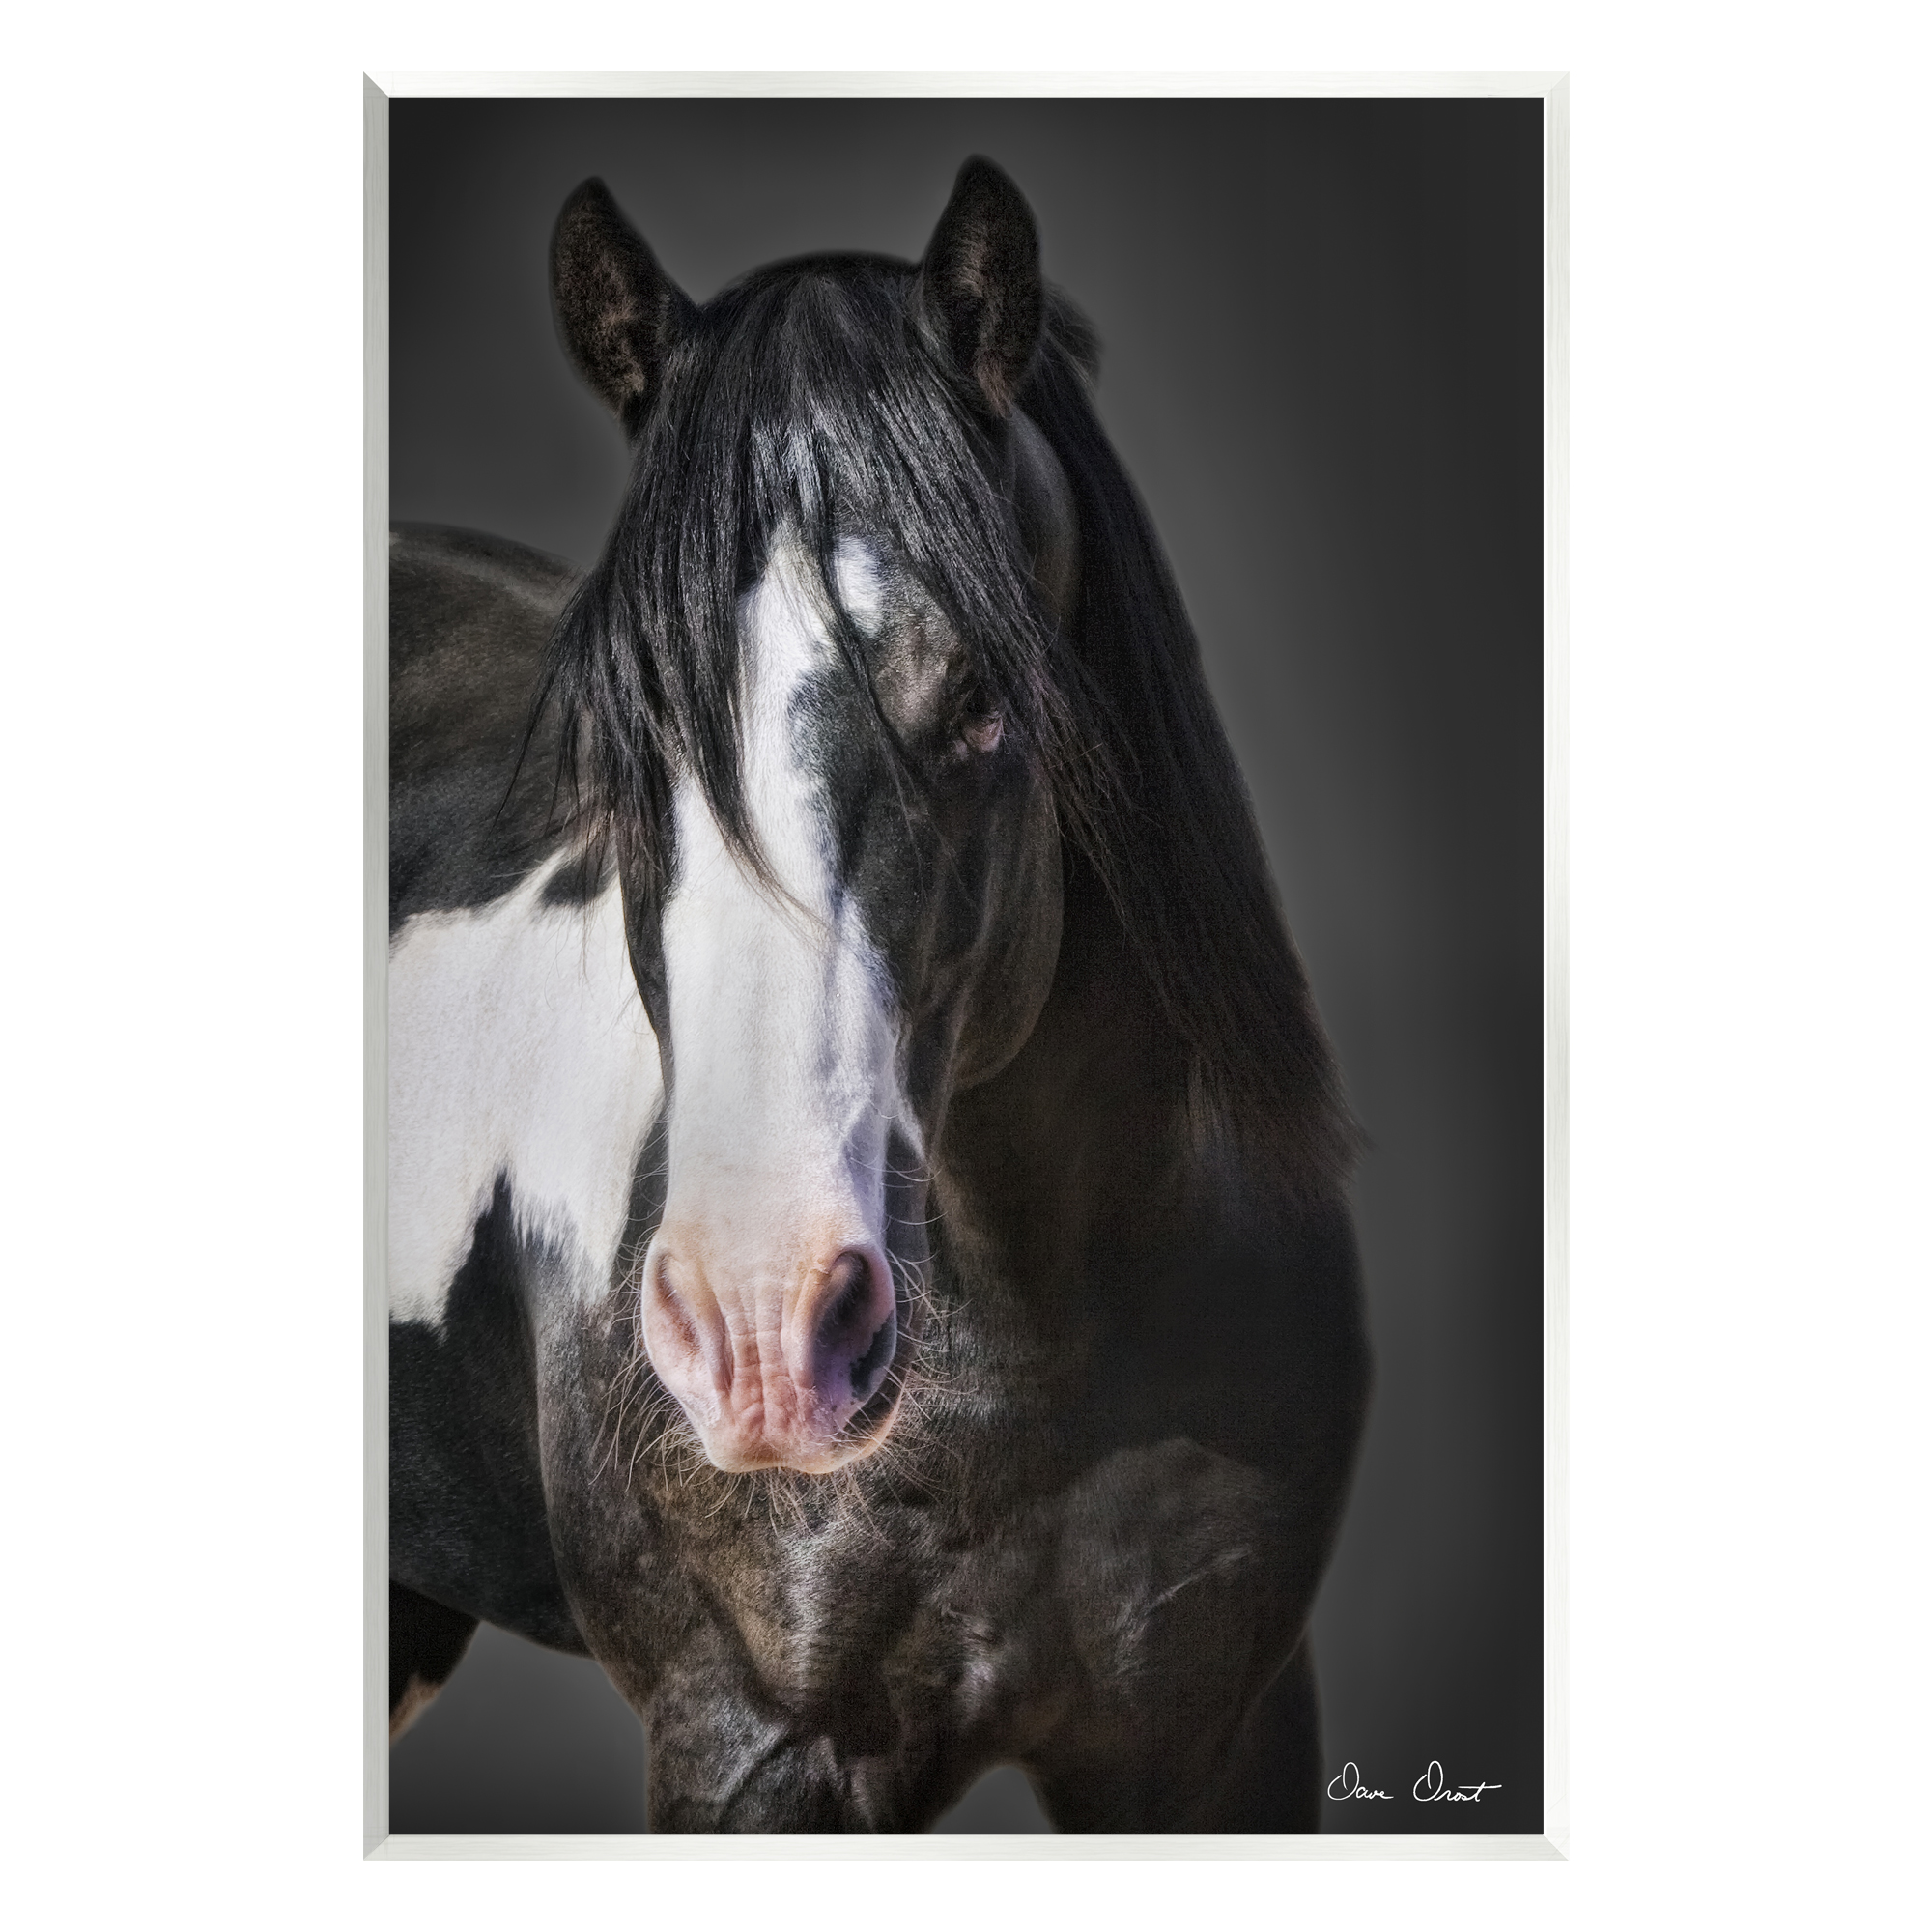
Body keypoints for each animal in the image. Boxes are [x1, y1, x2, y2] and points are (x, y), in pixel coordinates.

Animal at [387, 156, 1371, 1833]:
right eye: (624, 730)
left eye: (980, 704)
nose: (762, 1333)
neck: (1043, 1347)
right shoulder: (754, 1755)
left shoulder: (1214, 1739)